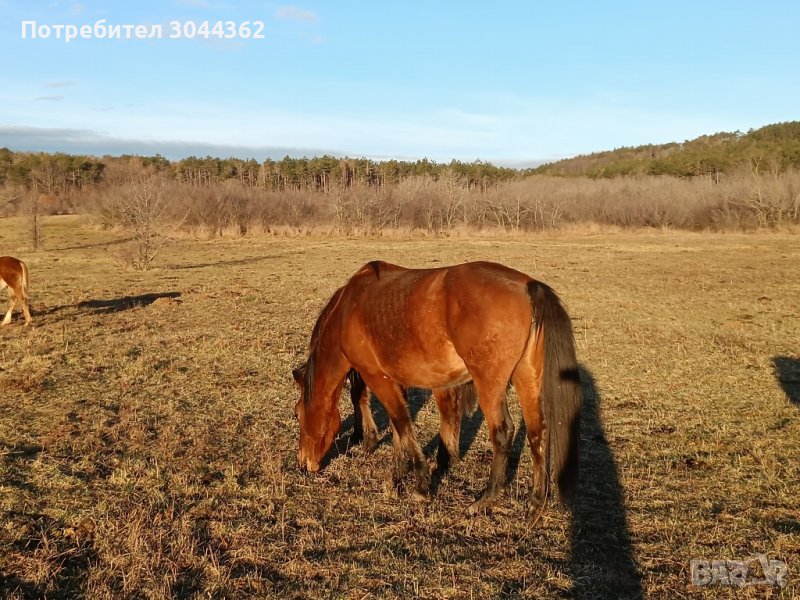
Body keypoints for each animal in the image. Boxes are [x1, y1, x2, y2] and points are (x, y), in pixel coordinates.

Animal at [294, 258, 580, 516]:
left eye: (297, 414)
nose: (303, 464)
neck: (349, 309)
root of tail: (527, 285)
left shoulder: (377, 377)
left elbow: (402, 424)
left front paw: (420, 484)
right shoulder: (396, 379)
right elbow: (398, 428)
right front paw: (397, 476)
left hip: (490, 385)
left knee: (503, 433)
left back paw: (484, 500)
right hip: (527, 377)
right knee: (537, 432)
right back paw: (535, 503)